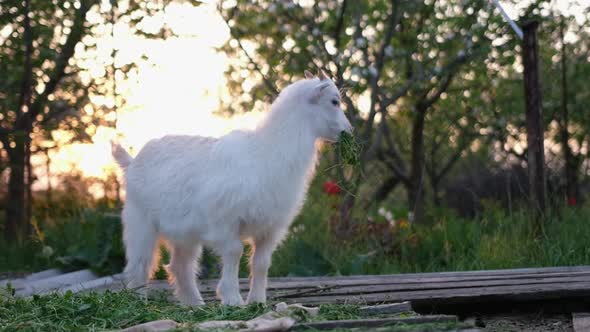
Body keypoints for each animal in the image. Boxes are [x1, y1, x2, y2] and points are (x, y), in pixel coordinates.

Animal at [112, 70, 352, 306]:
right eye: (334, 101)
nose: (348, 131)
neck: (266, 151)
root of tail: (131, 162)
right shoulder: (225, 222)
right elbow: (235, 252)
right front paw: (232, 299)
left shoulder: (271, 227)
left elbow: (261, 262)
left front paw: (257, 300)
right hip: (139, 221)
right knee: (140, 263)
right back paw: (138, 301)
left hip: (184, 233)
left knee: (180, 266)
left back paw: (195, 304)